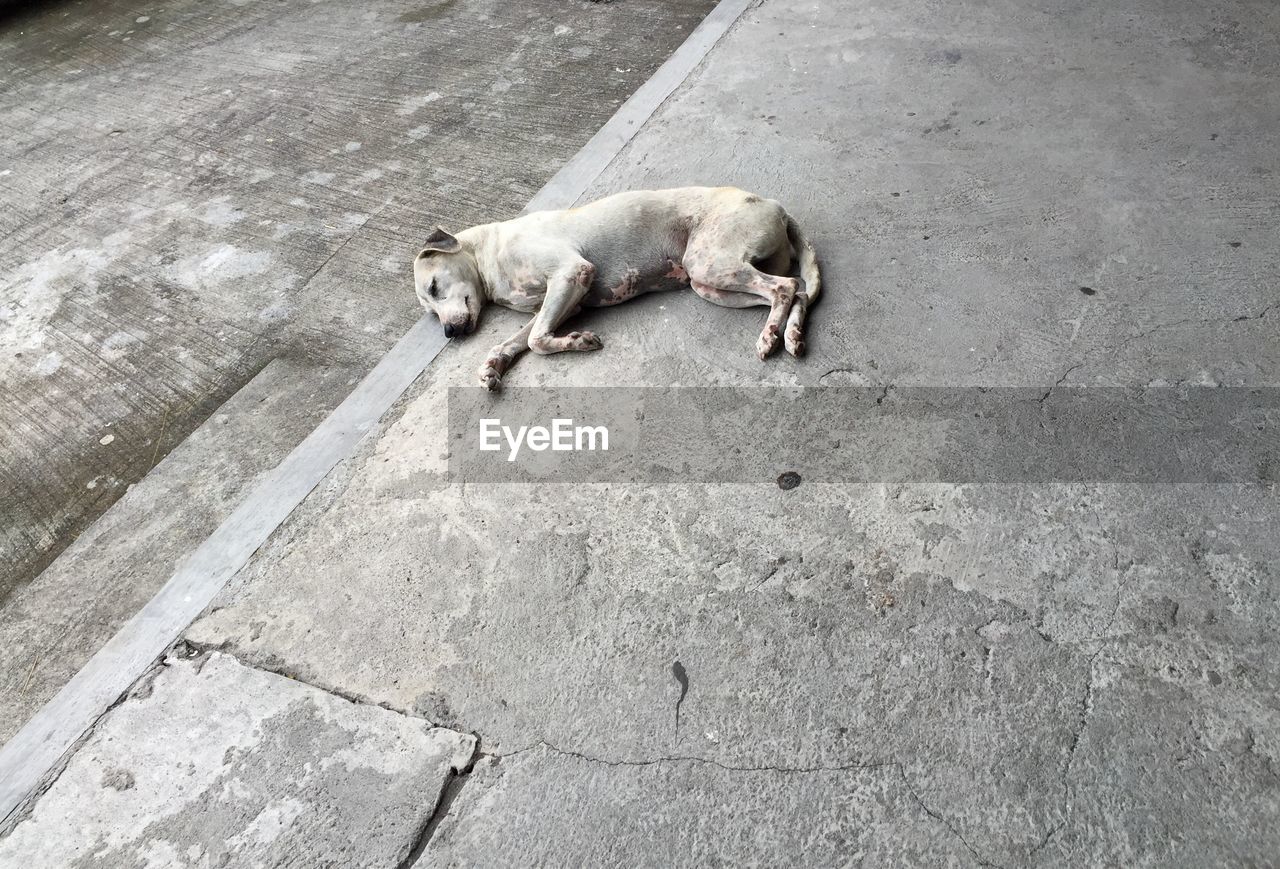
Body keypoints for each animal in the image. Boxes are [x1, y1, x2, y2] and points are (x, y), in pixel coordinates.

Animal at [414, 186, 824, 391]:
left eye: (433, 286)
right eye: (431, 312)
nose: (450, 332)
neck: (490, 256)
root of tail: (776, 206)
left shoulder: (572, 274)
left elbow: (536, 340)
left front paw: (579, 341)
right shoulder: (563, 302)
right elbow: (515, 341)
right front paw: (492, 368)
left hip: (710, 263)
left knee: (786, 286)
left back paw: (770, 337)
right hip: (709, 283)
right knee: (797, 291)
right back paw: (791, 334)